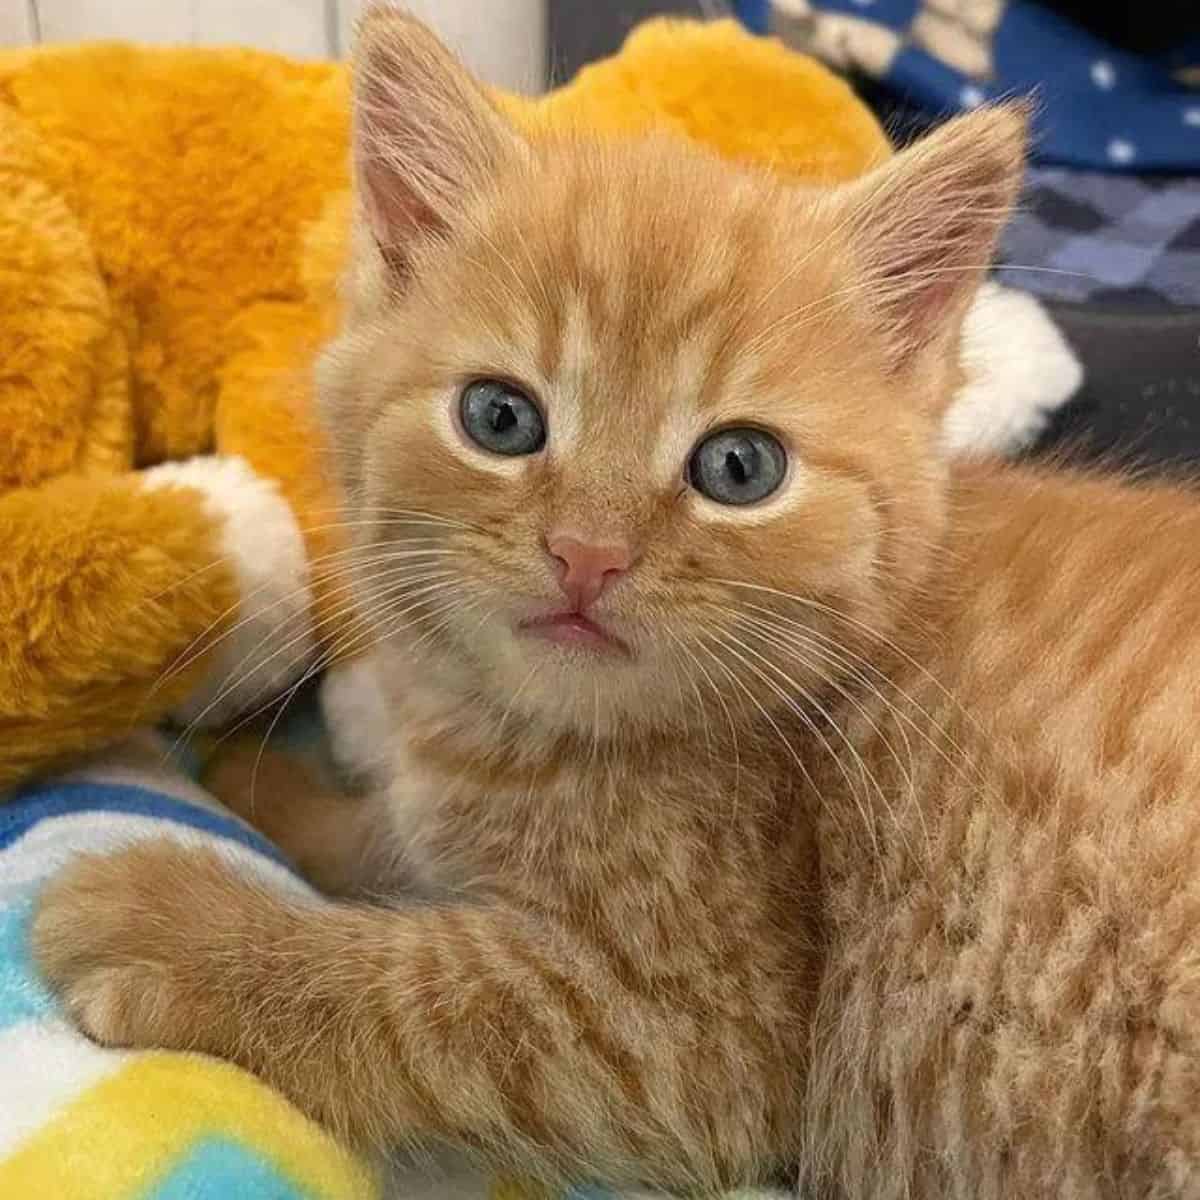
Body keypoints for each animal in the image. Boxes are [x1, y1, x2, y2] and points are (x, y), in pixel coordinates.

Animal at [30, 9, 1200, 1200]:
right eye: (499, 418)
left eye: (739, 467)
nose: (586, 554)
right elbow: (391, 835)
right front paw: (271, 786)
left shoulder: (691, 1035)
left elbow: (422, 995)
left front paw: (165, 922)